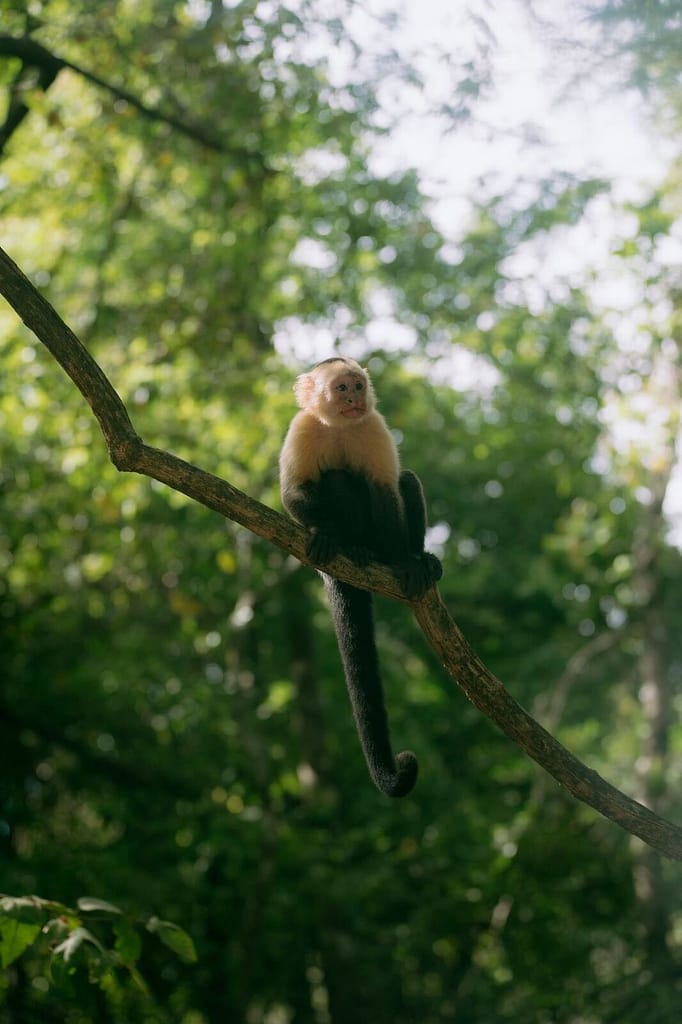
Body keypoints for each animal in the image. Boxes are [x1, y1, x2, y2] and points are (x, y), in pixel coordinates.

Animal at [279, 357, 442, 797]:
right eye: (341, 388)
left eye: (357, 386)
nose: (354, 398)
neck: (340, 426)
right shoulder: (302, 428)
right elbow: (293, 493)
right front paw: (325, 532)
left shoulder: (374, 427)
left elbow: (388, 492)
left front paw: (405, 561)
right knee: (337, 480)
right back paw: (353, 548)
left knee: (406, 482)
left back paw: (414, 559)